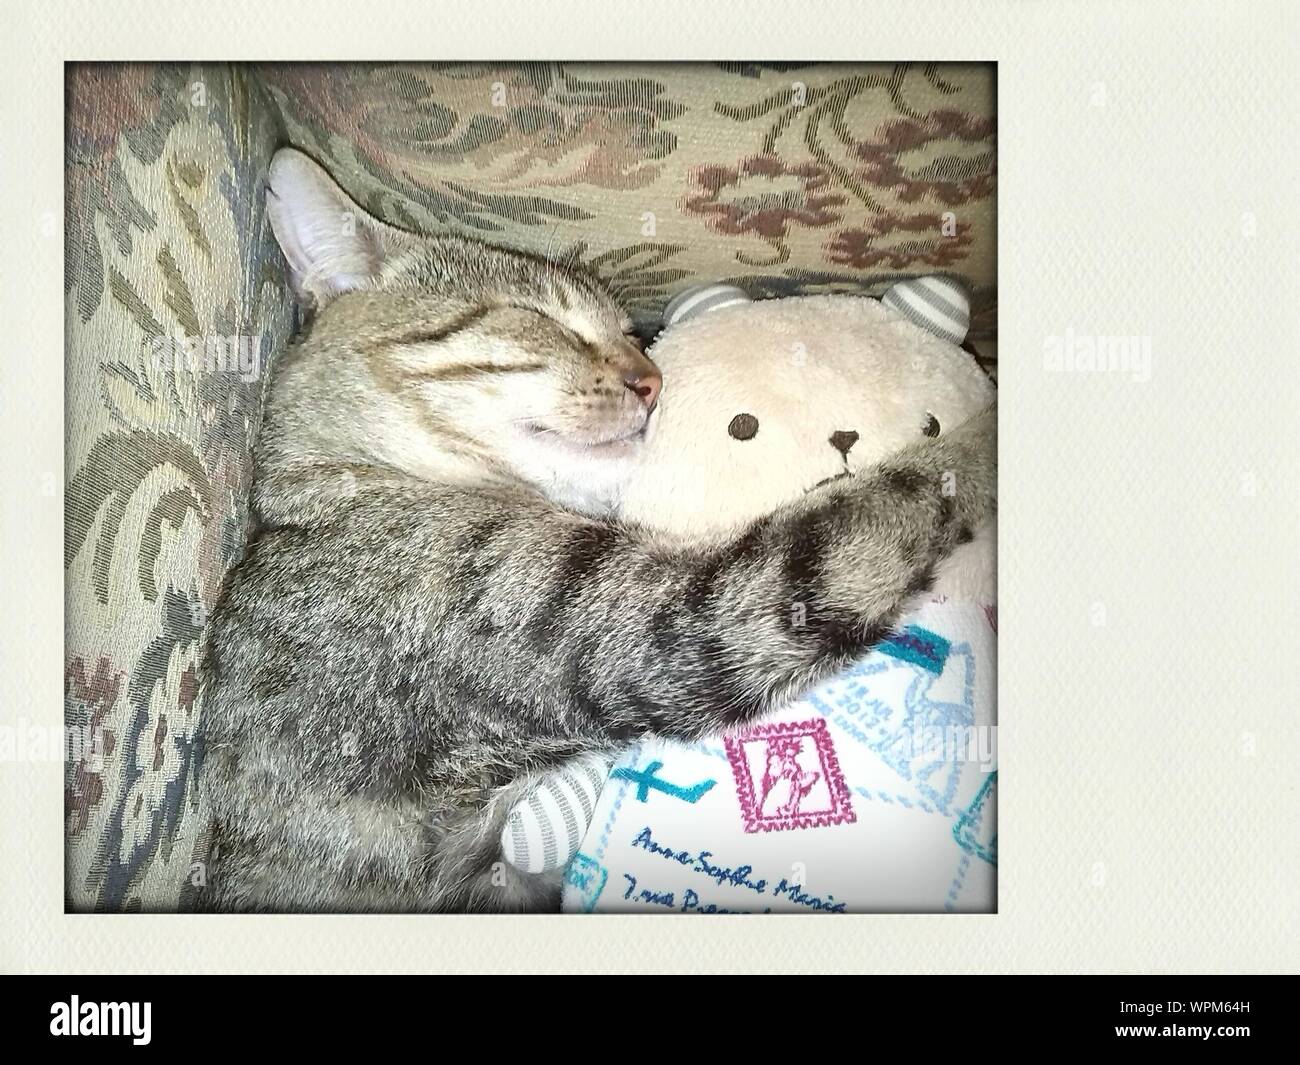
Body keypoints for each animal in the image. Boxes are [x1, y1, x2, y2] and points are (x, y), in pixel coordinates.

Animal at [200, 147, 993, 915]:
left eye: (635, 335)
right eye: (542, 318)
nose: (654, 381)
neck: (345, 483)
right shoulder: (681, 618)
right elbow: (894, 498)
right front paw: (981, 437)